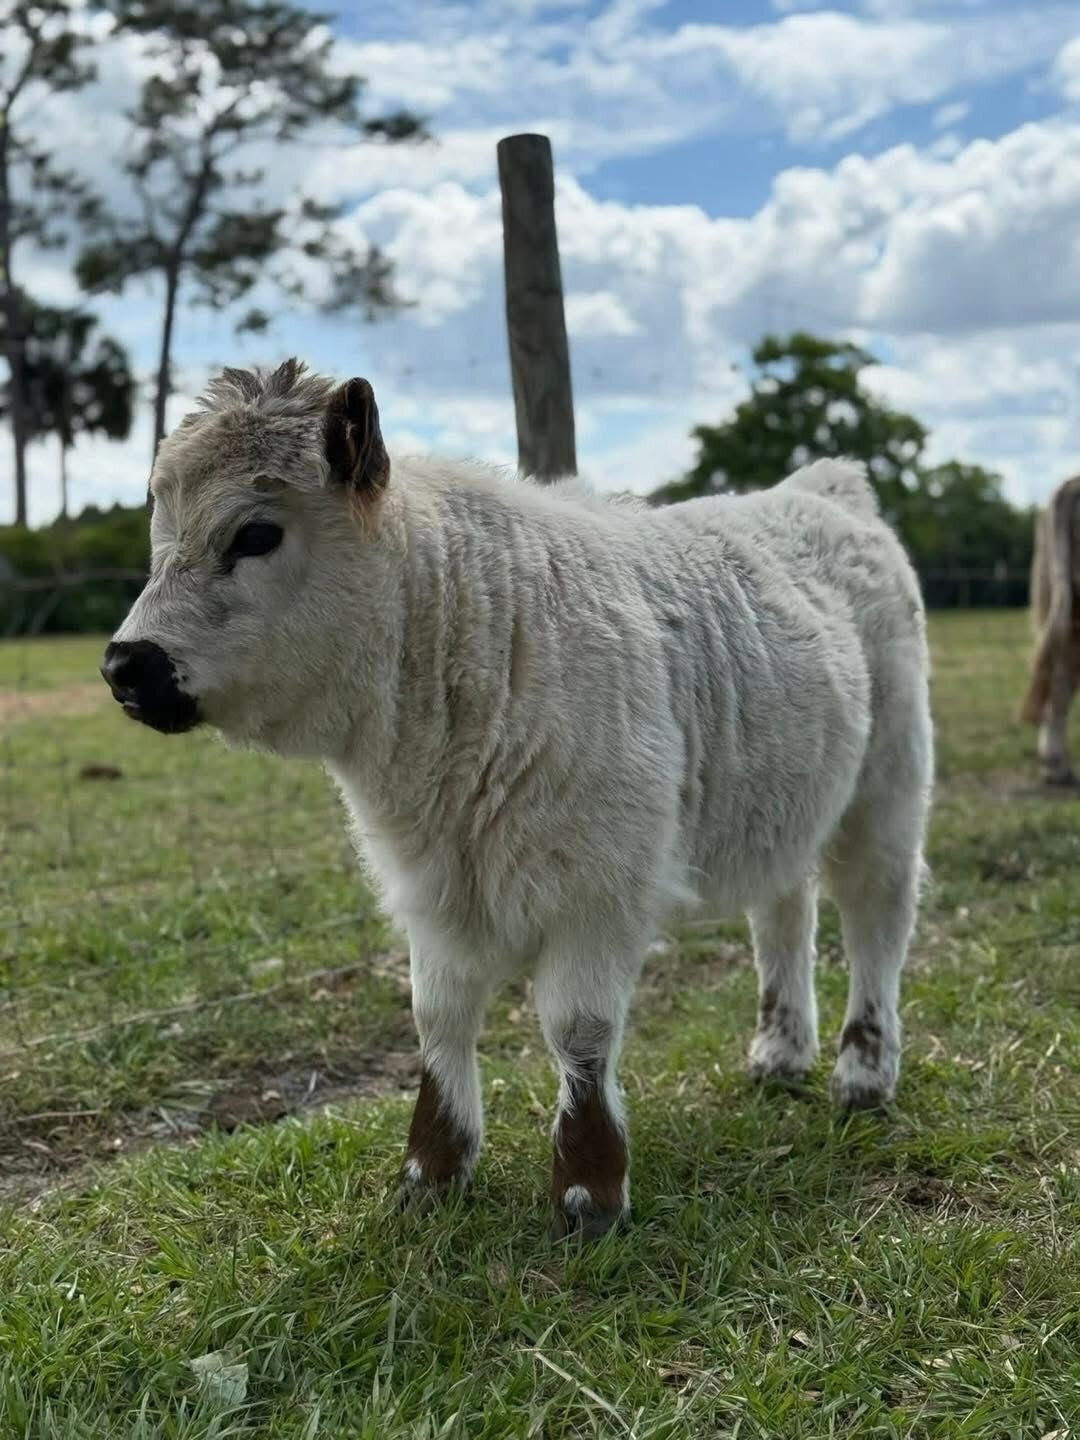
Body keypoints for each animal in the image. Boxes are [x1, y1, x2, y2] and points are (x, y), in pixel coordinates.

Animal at [101, 361, 933, 1239]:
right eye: (160, 531)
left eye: (256, 534)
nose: (127, 665)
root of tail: (823, 488)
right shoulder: (430, 886)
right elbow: (437, 1016)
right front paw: (431, 1173)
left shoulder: (599, 884)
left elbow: (579, 1029)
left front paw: (588, 1190)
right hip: (784, 802)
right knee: (784, 913)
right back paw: (780, 1053)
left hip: (888, 788)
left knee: (876, 919)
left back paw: (864, 1073)